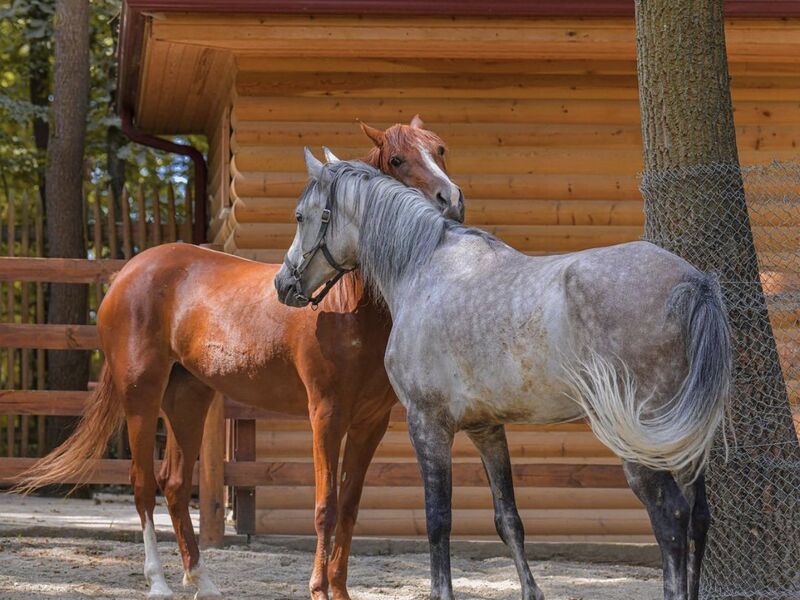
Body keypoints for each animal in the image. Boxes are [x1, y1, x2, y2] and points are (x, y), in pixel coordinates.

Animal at [18, 117, 462, 600]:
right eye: (398, 159)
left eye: (441, 149)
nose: (452, 201)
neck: (348, 306)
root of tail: (128, 273)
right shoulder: (326, 415)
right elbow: (325, 506)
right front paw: (318, 589)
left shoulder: (370, 423)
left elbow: (349, 506)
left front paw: (339, 591)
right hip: (141, 396)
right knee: (141, 484)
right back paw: (158, 582)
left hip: (188, 398)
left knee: (174, 484)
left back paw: (202, 580)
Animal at [276, 155, 732, 600]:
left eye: (300, 216)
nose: (283, 283)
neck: (422, 270)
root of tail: (693, 282)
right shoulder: (487, 428)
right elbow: (508, 519)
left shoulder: (428, 425)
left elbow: (438, 520)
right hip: (683, 444)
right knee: (697, 517)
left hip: (641, 444)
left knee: (670, 519)